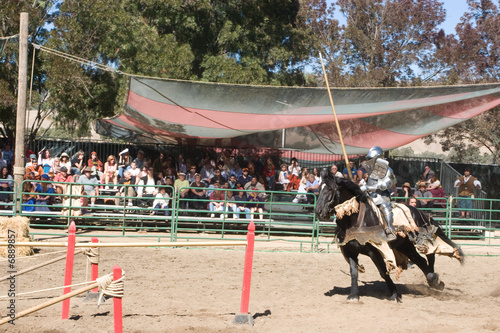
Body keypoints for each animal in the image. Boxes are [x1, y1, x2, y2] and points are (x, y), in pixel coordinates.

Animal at [316, 170, 464, 302]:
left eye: (330, 189)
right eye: (319, 189)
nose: (318, 211)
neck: (355, 221)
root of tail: (420, 212)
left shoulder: (375, 251)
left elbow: (383, 271)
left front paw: (394, 295)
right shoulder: (350, 251)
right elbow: (354, 272)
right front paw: (353, 295)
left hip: (417, 240)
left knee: (429, 255)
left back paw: (434, 279)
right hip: (405, 246)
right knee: (421, 261)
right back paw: (434, 282)